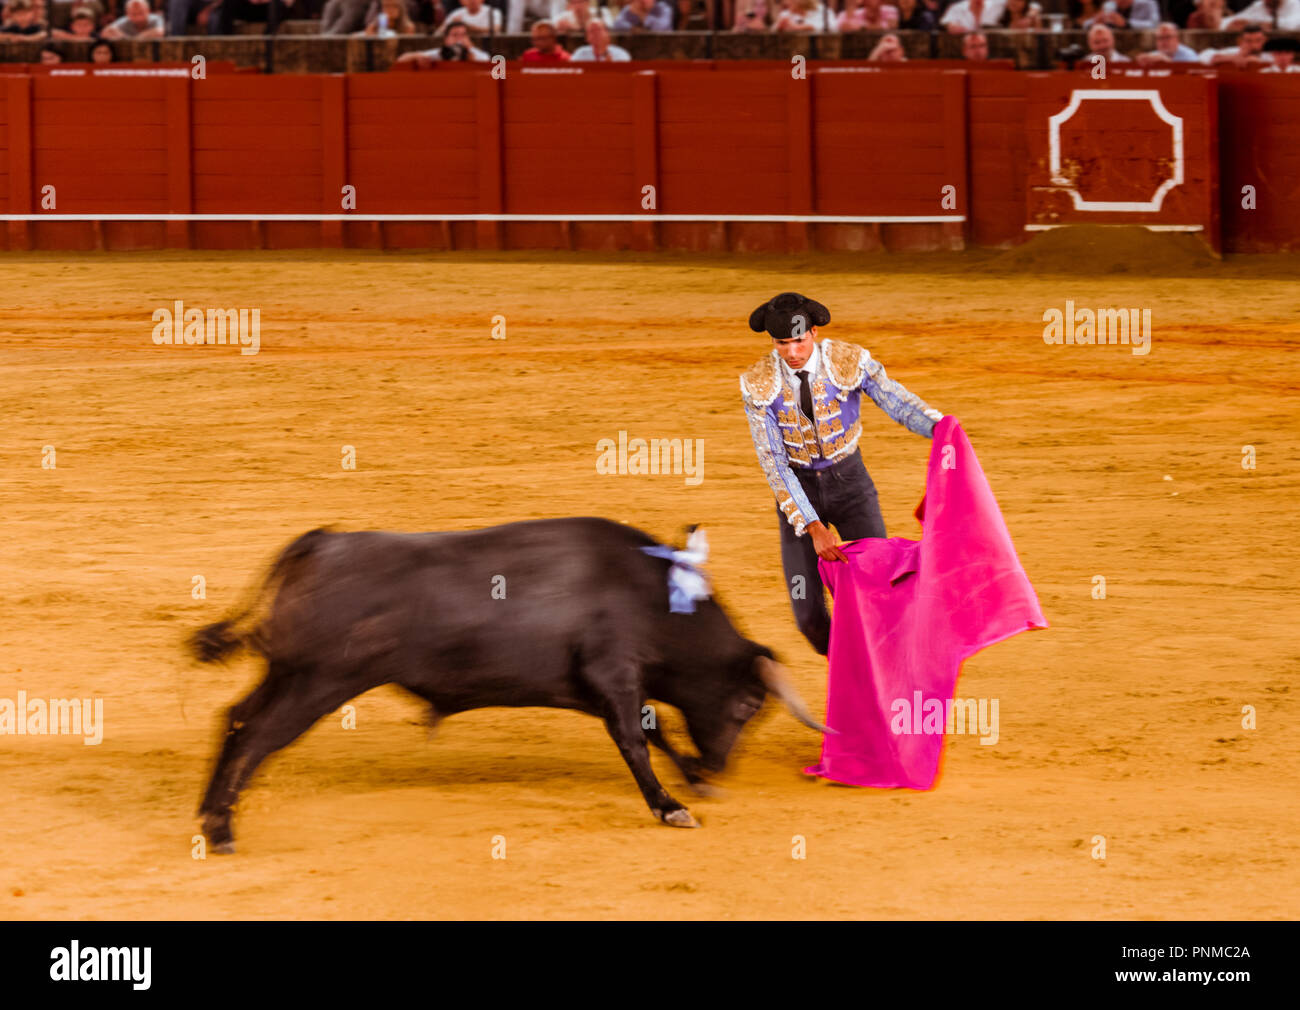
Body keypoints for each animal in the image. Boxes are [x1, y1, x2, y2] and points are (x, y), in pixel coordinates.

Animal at [188, 517, 826, 847]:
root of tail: (321, 541)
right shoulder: (614, 674)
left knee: (236, 719)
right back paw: (221, 828)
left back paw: (208, 813)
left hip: (287, 674)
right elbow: (637, 741)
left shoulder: (606, 687)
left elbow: (655, 732)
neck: (653, 597)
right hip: (318, 682)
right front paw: (672, 806)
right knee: (257, 736)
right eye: (747, 704)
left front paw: (690, 779)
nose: (719, 767)